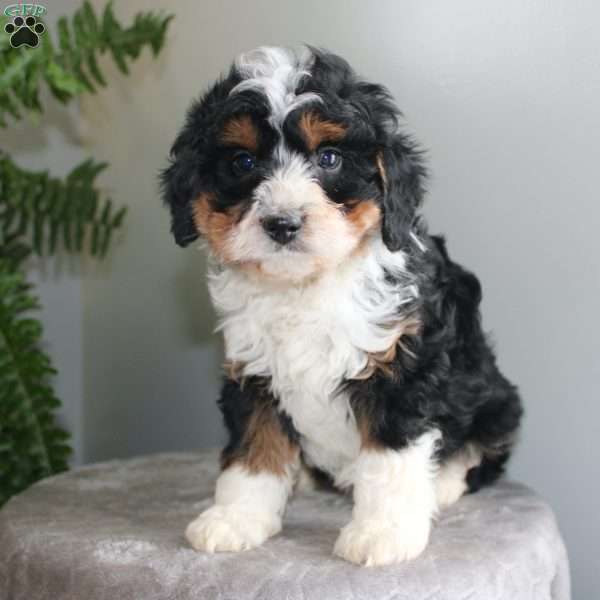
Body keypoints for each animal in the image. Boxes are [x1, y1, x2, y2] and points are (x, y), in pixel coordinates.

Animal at [161, 47, 520, 568]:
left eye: (329, 158)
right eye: (243, 161)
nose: (282, 223)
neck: (306, 285)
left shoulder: (401, 366)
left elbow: (391, 457)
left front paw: (383, 533)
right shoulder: (253, 370)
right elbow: (253, 449)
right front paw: (235, 518)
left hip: (497, 398)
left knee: (481, 450)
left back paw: (442, 484)